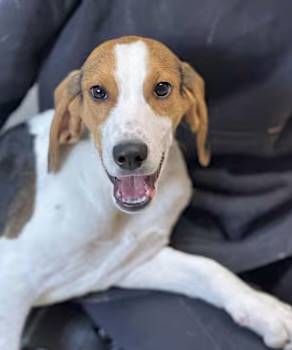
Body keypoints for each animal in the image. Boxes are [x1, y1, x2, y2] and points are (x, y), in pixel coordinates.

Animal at [0, 36, 292, 350]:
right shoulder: (11, 282)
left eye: (162, 88)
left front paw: (264, 308)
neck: (110, 209)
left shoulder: (126, 263)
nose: (129, 155)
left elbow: (209, 268)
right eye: (98, 92)